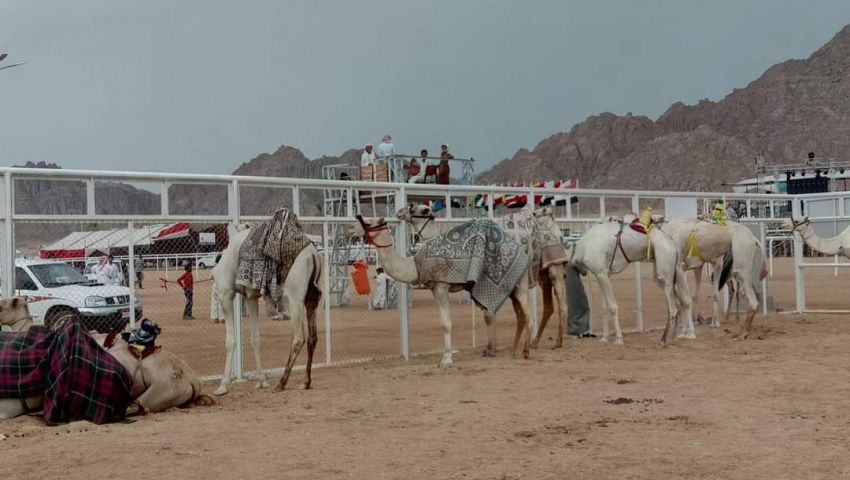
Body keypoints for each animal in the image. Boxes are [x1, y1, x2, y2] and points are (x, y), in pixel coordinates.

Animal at [211, 212, 322, 396]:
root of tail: (313, 255)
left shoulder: (225, 294)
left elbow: (230, 340)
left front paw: (223, 385)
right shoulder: (250, 297)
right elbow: (255, 338)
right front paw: (261, 381)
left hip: (295, 299)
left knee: (298, 338)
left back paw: (282, 383)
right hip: (311, 298)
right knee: (313, 337)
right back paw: (305, 382)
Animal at [348, 214, 528, 364]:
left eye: (368, 222)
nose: (350, 228)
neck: (414, 265)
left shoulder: (442, 286)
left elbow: (446, 323)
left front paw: (447, 358)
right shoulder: (434, 287)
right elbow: (444, 320)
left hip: (521, 285)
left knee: (527, 313)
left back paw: (526, 349)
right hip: (511, 289)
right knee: (513, 314)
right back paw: (510, 351)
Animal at [568, 214, 692, 344]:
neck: (582, 247)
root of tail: (673, 246)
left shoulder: (601, 272)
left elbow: (612, 306)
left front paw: (618, 339)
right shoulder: (601, 273)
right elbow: (604, 307)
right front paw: (604, 338)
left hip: (665, 270)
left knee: (673, 307)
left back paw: (663, 340)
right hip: (671, 271)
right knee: (680, 303)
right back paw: (673, 338)